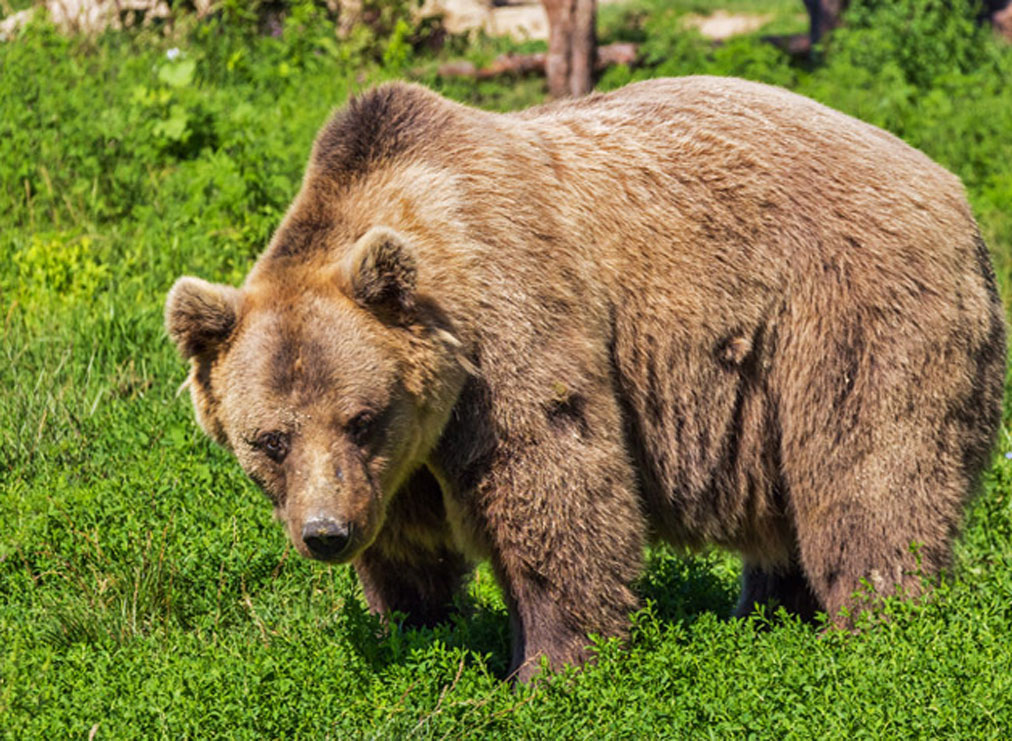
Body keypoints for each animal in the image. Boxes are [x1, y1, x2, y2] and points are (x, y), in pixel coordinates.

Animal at [165, 76, 1003, 684]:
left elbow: (555, 487)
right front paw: (412, 630)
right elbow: (407, 549)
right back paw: (768, 615)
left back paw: (877, 625)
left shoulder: (510, 334)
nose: (325, 533)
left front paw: (547, 668)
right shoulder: (400, 464)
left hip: (848, 313)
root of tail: (953, 188)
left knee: (868, 477)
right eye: (269, 439)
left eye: (362, 416)